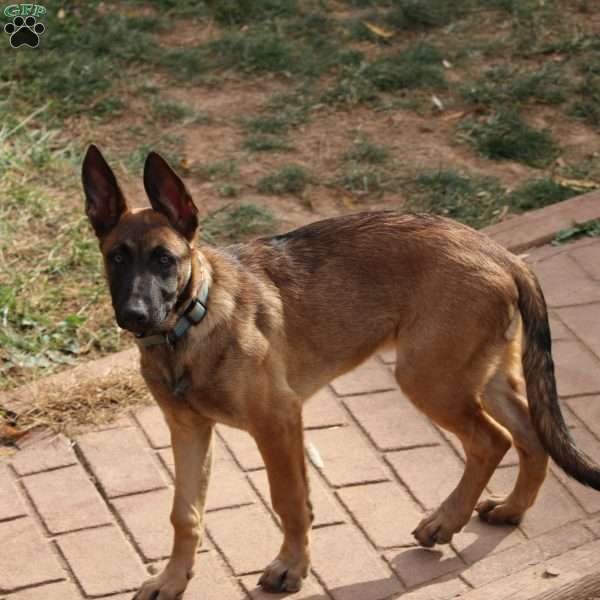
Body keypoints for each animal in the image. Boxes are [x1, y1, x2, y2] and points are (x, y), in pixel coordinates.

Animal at [81, 146, 600, 600]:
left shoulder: (277, 420)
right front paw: (172, 580)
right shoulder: (188, 429)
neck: (191, 323)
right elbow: (184, 513)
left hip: (429, 377)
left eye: (164, 259)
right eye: (116, 257)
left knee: (492, 441)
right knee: (531, 435)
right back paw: (511, 510)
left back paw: (445, 522)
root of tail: (502, 253)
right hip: (478, 372)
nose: (134, 315)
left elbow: (289, 500)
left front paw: (291, 567)